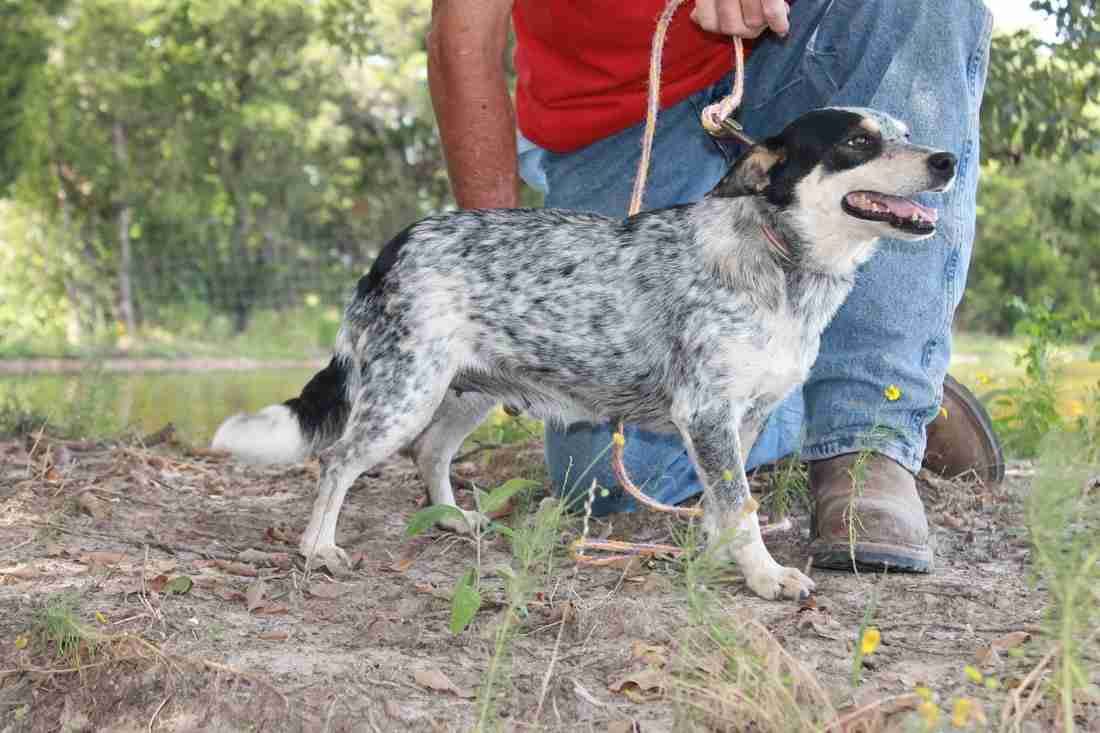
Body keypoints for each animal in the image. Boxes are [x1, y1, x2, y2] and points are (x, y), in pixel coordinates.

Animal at [212, 108, 954, 598]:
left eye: (905, 133)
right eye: (858, 141)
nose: (946, 161)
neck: (779, 260)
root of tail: (393, 246)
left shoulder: (741, 421)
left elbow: (725, 506)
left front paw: (717, 561)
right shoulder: (707, 415)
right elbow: (740, 510)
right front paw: (765, 575)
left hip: (463, 392)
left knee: (429, 453)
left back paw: (450, 517)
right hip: (405, 393)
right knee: (338, 461)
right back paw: (319, 549)